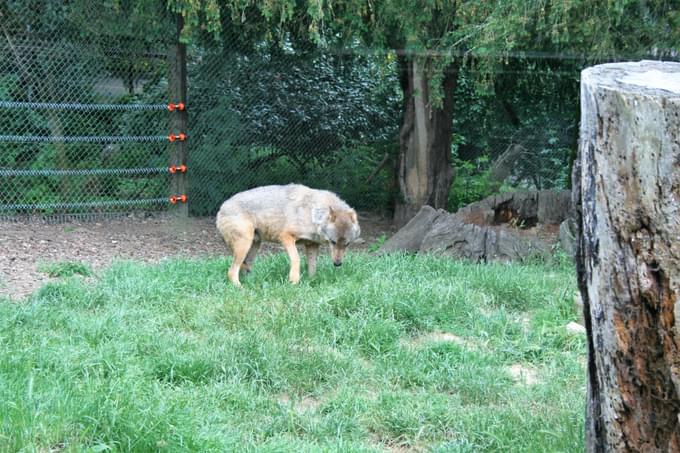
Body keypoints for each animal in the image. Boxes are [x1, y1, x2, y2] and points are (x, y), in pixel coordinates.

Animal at [216, 183, 362, 282]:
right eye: (333, 242)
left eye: (347, 244)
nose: (337, 264)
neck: (312, 213)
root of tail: (221, 208)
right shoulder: (286, 236)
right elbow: (296, 259)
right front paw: (294, 281)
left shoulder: (312, 245)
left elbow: (312, 267)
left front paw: (311, 282)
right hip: (244, 245)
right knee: (231, 272)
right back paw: (242, 290)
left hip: (254, 246)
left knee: (243, 269)